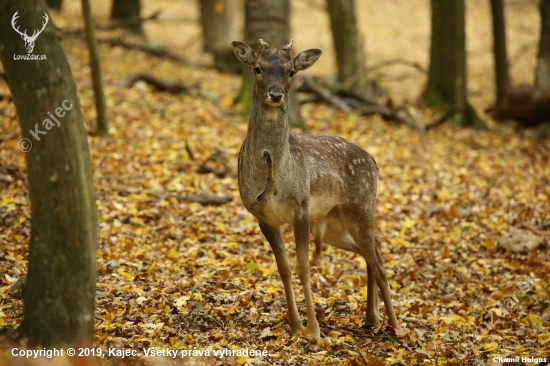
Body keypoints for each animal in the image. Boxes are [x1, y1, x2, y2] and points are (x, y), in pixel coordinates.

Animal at [233, 38, 402, 338]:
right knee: (374, 247)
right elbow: (284, 268)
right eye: (257, 68)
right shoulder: (263, 217)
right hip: (334, 222)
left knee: (378, 258)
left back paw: (395, 326)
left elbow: (304, 267)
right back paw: (371, 318)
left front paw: (313, 330)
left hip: (361, 205)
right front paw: (295, 325)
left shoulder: (300, 207)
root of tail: (373, 161)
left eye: (290, 71)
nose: (275, 94)